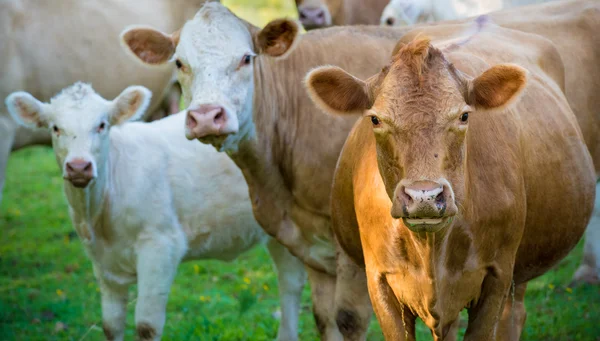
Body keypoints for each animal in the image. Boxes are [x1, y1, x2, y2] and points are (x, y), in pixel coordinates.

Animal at [3, 83, 304, 340]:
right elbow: (111, 325)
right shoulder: (102, 261)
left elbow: (146, 326)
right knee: (290, 282)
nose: (79, 166)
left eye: (102, 125)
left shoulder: (161, 246)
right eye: (55, 128)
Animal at [308, 20, 592, 340]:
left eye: (464, 116)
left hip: (519, 269)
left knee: (514, 315)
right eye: (375, 119)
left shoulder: (498, 275)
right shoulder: (379, 280)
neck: (431, 246)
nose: (424, 197)